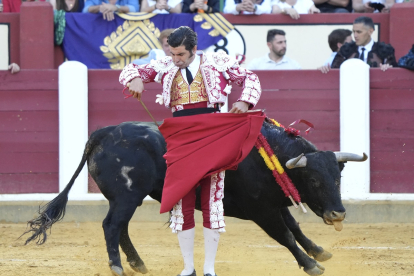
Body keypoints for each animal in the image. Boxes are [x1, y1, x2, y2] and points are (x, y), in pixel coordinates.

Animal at [21, 121, 366, 276]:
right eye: (313, 180)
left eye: (338, 177)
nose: (338, 214)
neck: (270, 158)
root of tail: (104, 133)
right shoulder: (261, 211)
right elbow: (285, 236)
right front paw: (310, 265)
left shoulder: (274, 205)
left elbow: (294, 228)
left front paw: (320, 252)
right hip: (126, 196)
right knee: (112, 226)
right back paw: (118, 266)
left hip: (127, 198)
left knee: (120, 227)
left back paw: (138, 263)